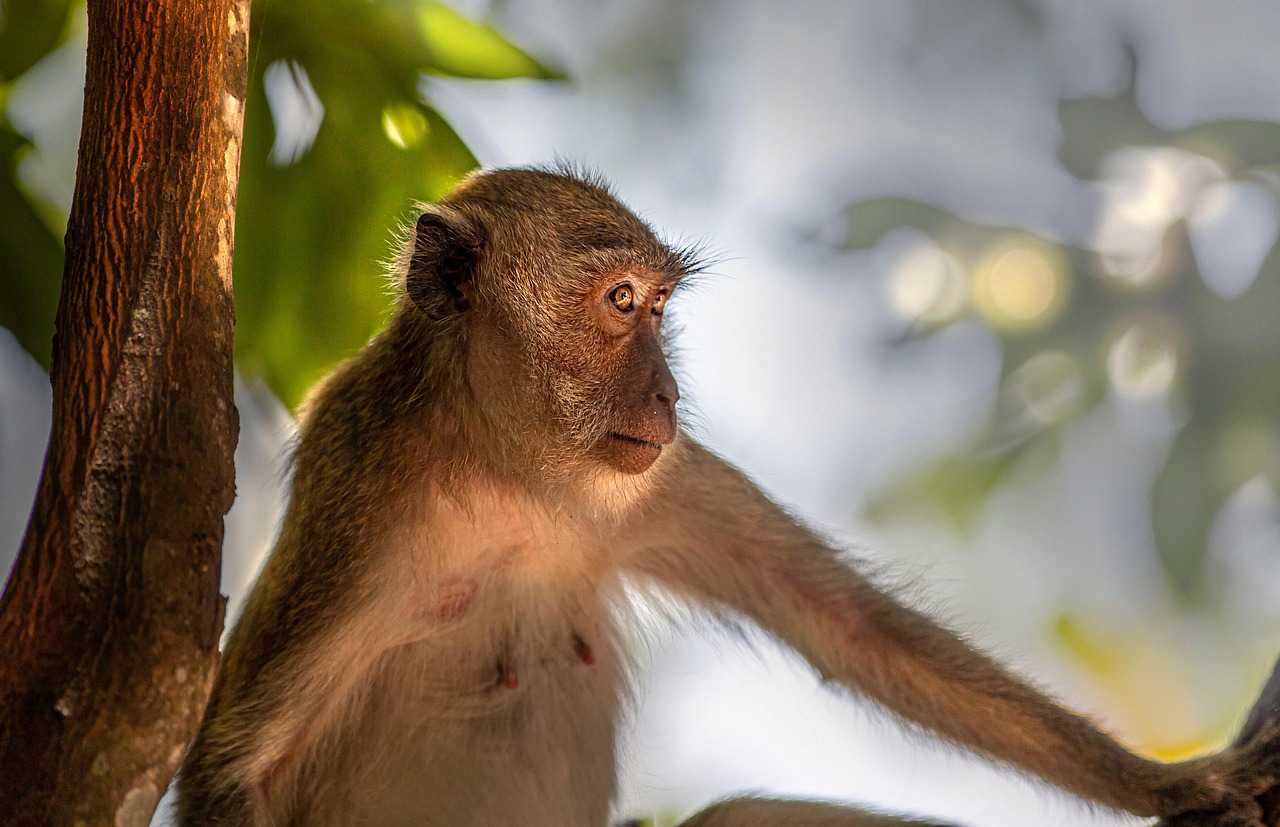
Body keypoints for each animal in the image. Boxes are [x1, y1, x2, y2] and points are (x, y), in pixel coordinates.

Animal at [177, 168, 1280, 827]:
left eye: (660, 307)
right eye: (620, 302)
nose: (667, 392)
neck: (507, 472)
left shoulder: (653, 481)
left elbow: (851, 627)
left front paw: (1173, 782)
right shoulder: (365, 493)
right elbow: (233, 765)